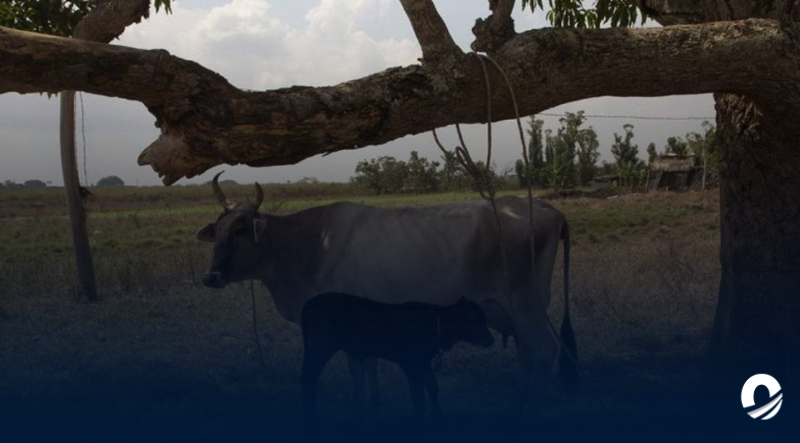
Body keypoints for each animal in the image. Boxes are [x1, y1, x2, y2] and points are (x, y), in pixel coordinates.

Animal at [300, 292, 495, 425]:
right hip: (322, 347)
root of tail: (313, 301)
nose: (491, 339)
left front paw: (439, 417)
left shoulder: (424, 362)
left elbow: (433, 387)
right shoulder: (411, 365)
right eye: (474, 320)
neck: (435, 323)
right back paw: (311, 416)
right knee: (310, 377)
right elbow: (418, 398)